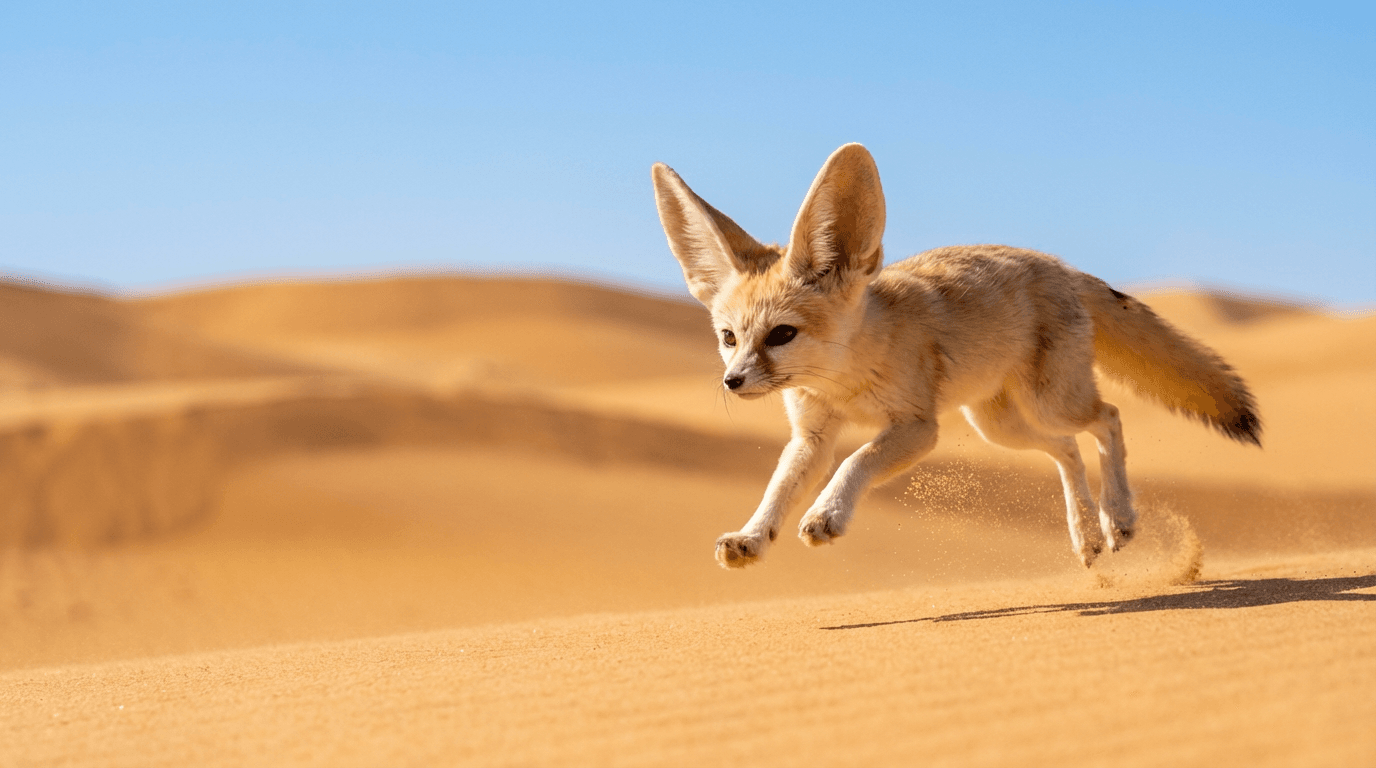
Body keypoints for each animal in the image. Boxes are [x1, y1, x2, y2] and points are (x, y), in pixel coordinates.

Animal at [651, 143, 1261, 570]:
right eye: (729, 338)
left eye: (781, 334)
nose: (732, 382)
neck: (843, 381)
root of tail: (1061, 266)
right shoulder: (812, 436)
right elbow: (777, 489)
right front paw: (752, 537)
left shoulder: (918, 428)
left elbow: (857, 461)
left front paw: (826, 513)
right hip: (1000, 425)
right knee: (1067, 449)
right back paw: (1086, 534)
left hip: (1048, 402)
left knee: (1107, 419)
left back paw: (1119, 518)